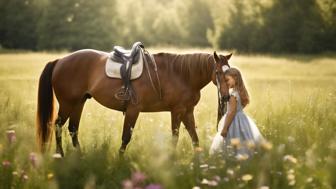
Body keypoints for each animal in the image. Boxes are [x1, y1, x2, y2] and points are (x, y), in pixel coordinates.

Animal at [36, 48, 231, 155]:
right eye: (218, 72)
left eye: (231, 72)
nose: (226, 97)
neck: (180, 75)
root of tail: (60, 60)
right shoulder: (169, 111)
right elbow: (127, 137)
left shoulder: (186, 112)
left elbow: (194, 138)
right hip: (68, 103)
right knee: (57, 125)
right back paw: (60, 155)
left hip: (79, 103)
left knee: (73, 129)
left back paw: (80, 156)